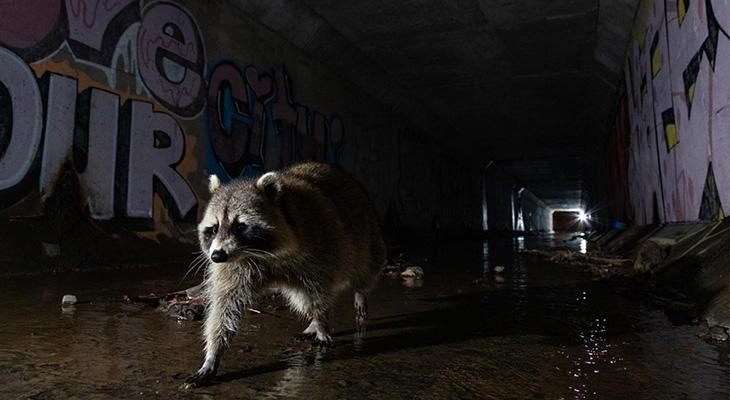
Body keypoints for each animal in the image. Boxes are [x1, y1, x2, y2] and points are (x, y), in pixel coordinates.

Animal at [185, 162, 384, 388]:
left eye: (240, 226)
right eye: (214, 228)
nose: (217, 256)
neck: (259, 253)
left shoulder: (319, 248)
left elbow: (318, 292)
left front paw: (322, 322)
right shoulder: (234, 266)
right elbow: (225, 306)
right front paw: (212, 355)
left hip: (364, 232)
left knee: (363, 267)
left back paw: (357, 294)